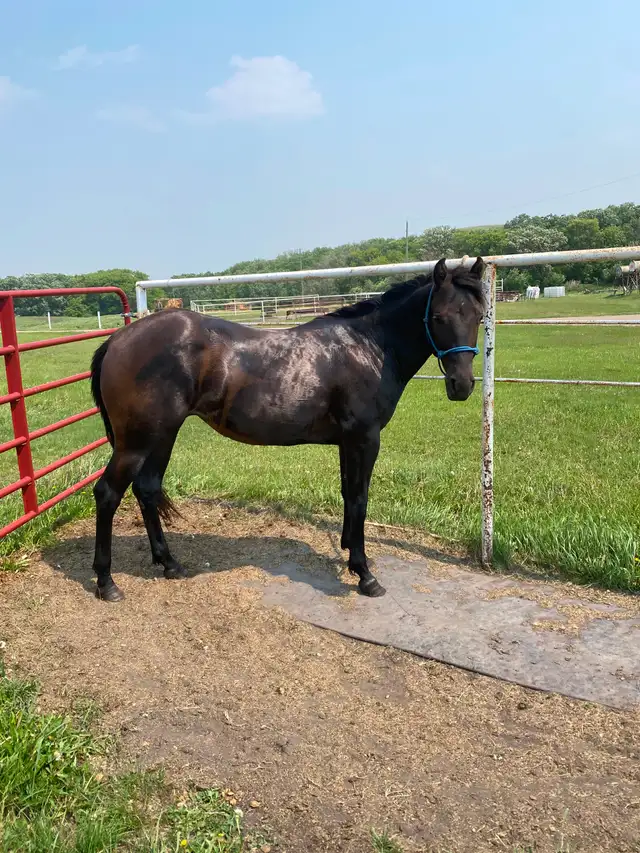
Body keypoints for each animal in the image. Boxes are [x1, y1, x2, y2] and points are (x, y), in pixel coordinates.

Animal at [89, 257, 486, 603]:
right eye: (438, 316)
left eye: (479, 315)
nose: (462, 385)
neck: (369, 346)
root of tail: (118, 340)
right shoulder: (365, 438)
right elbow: (360, 498)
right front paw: (364, 573)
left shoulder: (347, 442)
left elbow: (348, 494)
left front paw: (347, 549)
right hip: (136, 443)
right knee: (108, 493)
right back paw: (106, 582)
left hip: (162, 436)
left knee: (147, 489)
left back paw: (169, 563)